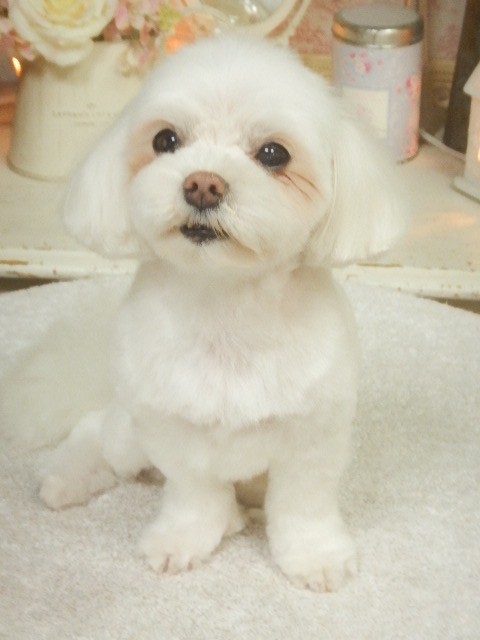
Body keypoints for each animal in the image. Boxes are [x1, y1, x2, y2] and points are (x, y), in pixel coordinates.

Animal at [1, 35, 405, 592]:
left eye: (274, 153)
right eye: (165, 140)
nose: (203, 185)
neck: (226, 307)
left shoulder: (313, 435)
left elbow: (303, 505)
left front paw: (315, 555)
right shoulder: (172, 429)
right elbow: (194, 495)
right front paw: (183, 539)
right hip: (130, 430)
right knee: (96, 430)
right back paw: (67, 478)